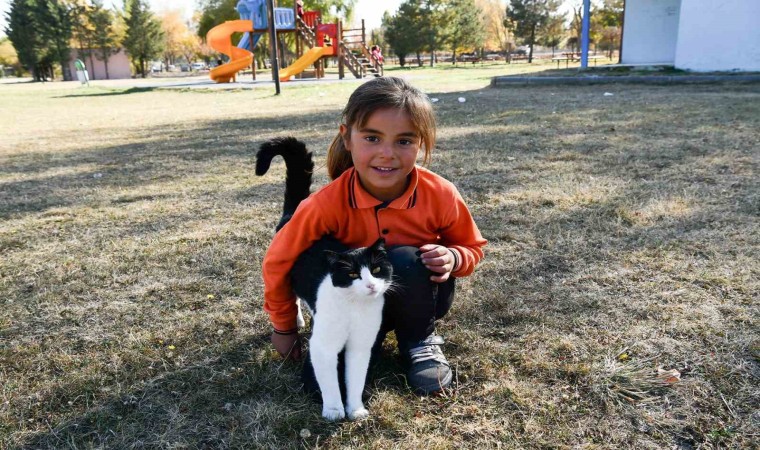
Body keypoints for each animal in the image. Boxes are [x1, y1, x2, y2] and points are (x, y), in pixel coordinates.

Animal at [256, 137, 393, 421]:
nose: (370, 285)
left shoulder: (360, 346)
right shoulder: (323, 347)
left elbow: (355, 380)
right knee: (285, 295)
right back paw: (294, 319)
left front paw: (356, 409)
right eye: (352, 274)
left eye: (376, 270)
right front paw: (333, 410)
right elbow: (329, 382)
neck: (354, 309)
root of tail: (293, 212)